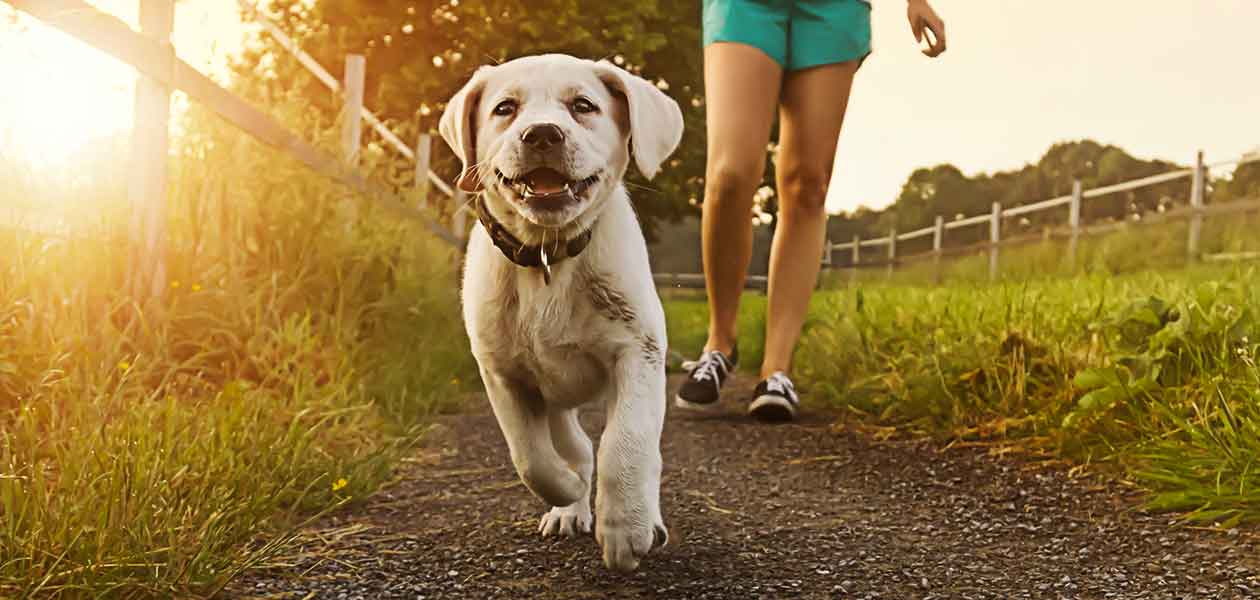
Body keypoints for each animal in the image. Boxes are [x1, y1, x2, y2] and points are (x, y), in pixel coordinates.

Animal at [441, 52, 685, 572]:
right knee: (574, 445)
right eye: (505, 108)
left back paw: (644, 518)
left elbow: (626, 442)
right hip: (554, 398)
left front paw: (625, 528)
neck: (548, 256)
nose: (541, 134)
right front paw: (567, 492)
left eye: (583, 106)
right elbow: (529, 457)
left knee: (630, 450)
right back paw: (570, 506)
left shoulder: (639, 353)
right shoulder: (504, 375)